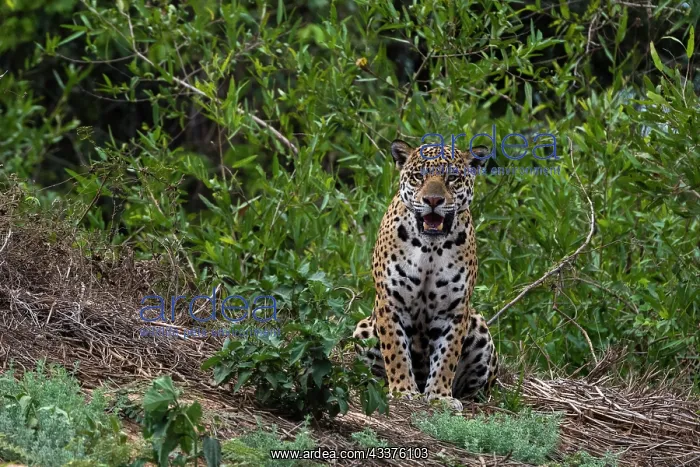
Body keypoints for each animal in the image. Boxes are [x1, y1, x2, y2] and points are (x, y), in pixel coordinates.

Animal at [353, 139, 499, 411]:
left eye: (452, 178)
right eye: (419, 176)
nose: (433, 200)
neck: (431, 247)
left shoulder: (455, 310)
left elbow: (447, 356)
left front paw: (440, 396)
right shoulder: (390, 302)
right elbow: (396, 350)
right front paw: (403, 391)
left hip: (479, 327)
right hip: (363, 329)